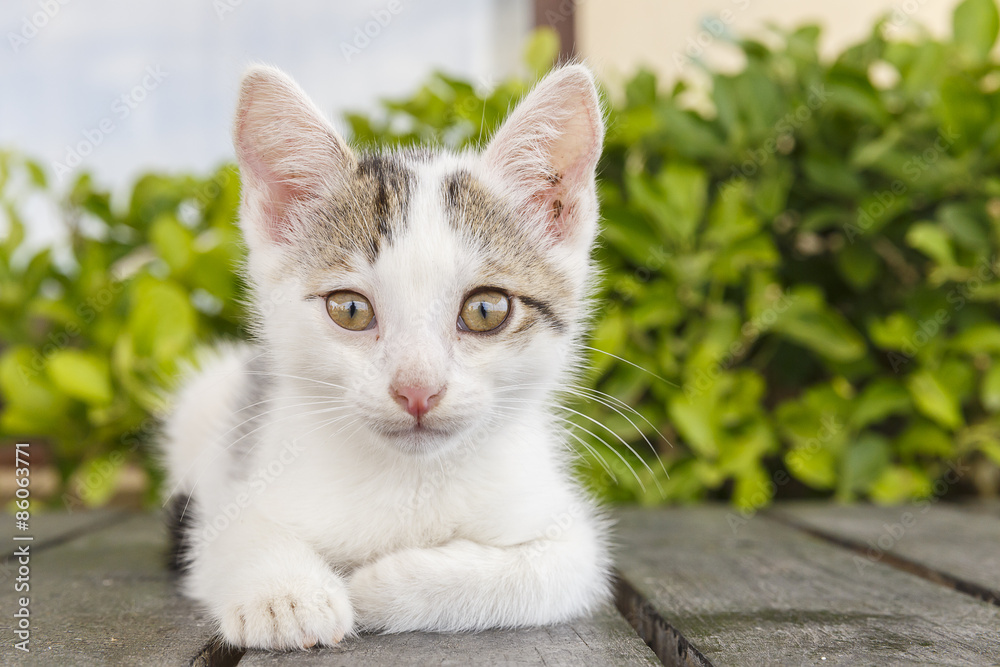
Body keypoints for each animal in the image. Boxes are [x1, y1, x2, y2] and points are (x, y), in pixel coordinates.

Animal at [159, 64, 608, 652]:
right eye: (350, 309)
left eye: (486, 310)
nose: (417, 388)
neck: (410, 481)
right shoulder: (230, 494)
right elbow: (234, 532)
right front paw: (288, 596)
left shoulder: (567, 537)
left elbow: (539, 572)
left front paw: (371, 586)